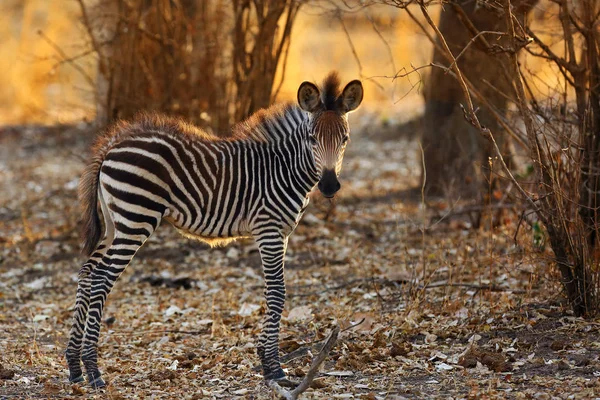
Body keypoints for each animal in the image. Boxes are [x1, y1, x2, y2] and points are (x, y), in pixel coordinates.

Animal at [67, 72, 364, 388]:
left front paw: (266, 359)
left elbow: (273, 292)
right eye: (311, 138)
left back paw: (74, 367)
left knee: (87, 274)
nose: (329, 186)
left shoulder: (282, 234)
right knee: (101, 279)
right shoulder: (269, 230)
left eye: (344, 139)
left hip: (114, 223)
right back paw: (94, 371)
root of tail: (112, 144)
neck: (283, 169)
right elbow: (277, 292)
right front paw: (272, 367)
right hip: (136, 219)